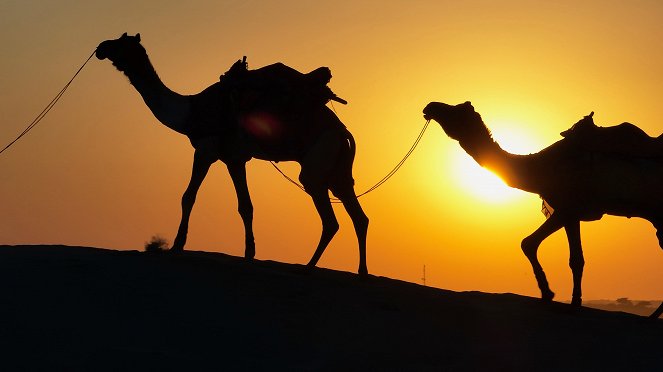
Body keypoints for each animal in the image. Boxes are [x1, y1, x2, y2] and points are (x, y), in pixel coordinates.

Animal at [96, 33, 370, 274]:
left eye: (121, 42)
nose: (100, 47)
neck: (191, 111)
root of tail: (343, 131)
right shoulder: (235, 159)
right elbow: (245, 206)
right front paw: (249, 253)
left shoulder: (205, 149)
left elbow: (188, 196)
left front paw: (177, 245)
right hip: (337, 171)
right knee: (358, 216)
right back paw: (361, 271)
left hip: (317, 165)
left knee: (330, 219)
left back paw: (308, 267)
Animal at [422, 100, 663, 318]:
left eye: (456, 110)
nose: (430, 107)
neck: (541, 166)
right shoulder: (568, 212)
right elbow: (531, 244)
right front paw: (548, 293)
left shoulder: (568, 208)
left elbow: (573, 258)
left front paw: (571, 302)